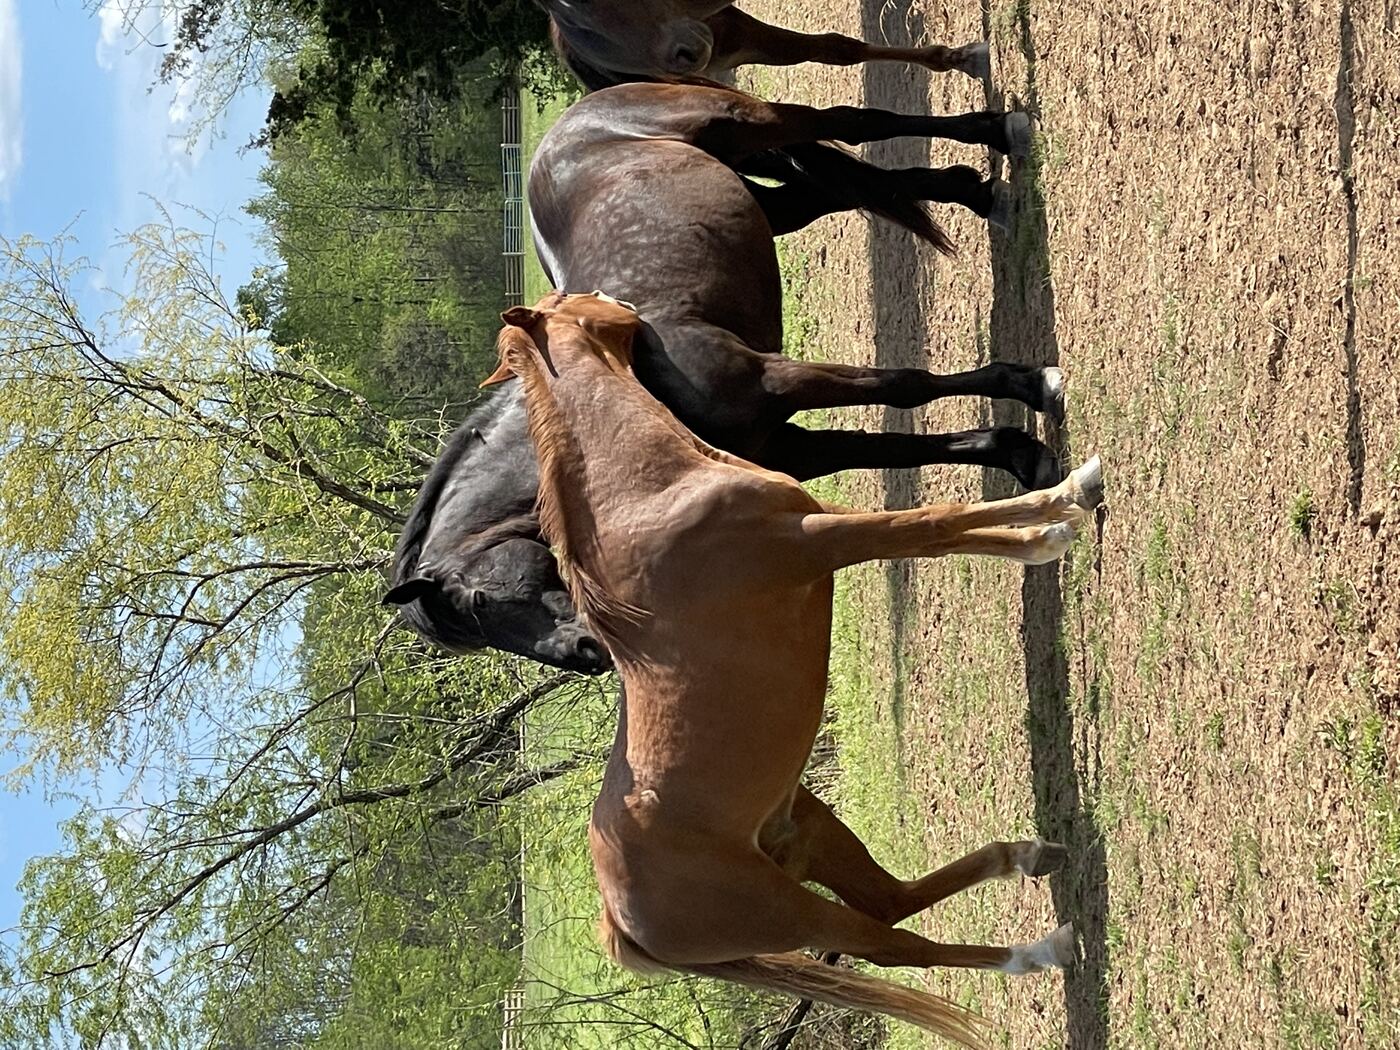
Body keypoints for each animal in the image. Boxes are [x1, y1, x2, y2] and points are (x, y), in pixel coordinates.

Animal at [386, 82, 1054, 672]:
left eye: (478, 603)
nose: (584, 656)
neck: (630, 377)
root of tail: (575, 118)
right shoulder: (788, 445)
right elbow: (893, 449)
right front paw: (1017, 453)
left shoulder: (780, 380)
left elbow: (904, 386)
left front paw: (1029, 384)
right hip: (769, 205)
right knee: (834, 191)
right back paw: (974, 189)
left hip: (742, 122)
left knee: (849, 122)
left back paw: (996, 129)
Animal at [482, 289, 1103, 1043]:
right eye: (581, 299)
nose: (636, 307)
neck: (654, 502)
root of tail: (619, 922)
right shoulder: (816, 539)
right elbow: (932, 523)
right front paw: (1063, 506)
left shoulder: (820, 528)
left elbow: (939, 531)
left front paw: (1042, 528)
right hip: (793, 911)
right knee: (894, 945)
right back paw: (1041, 949)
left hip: (806, 826)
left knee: (890, 899)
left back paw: (1027, 857)